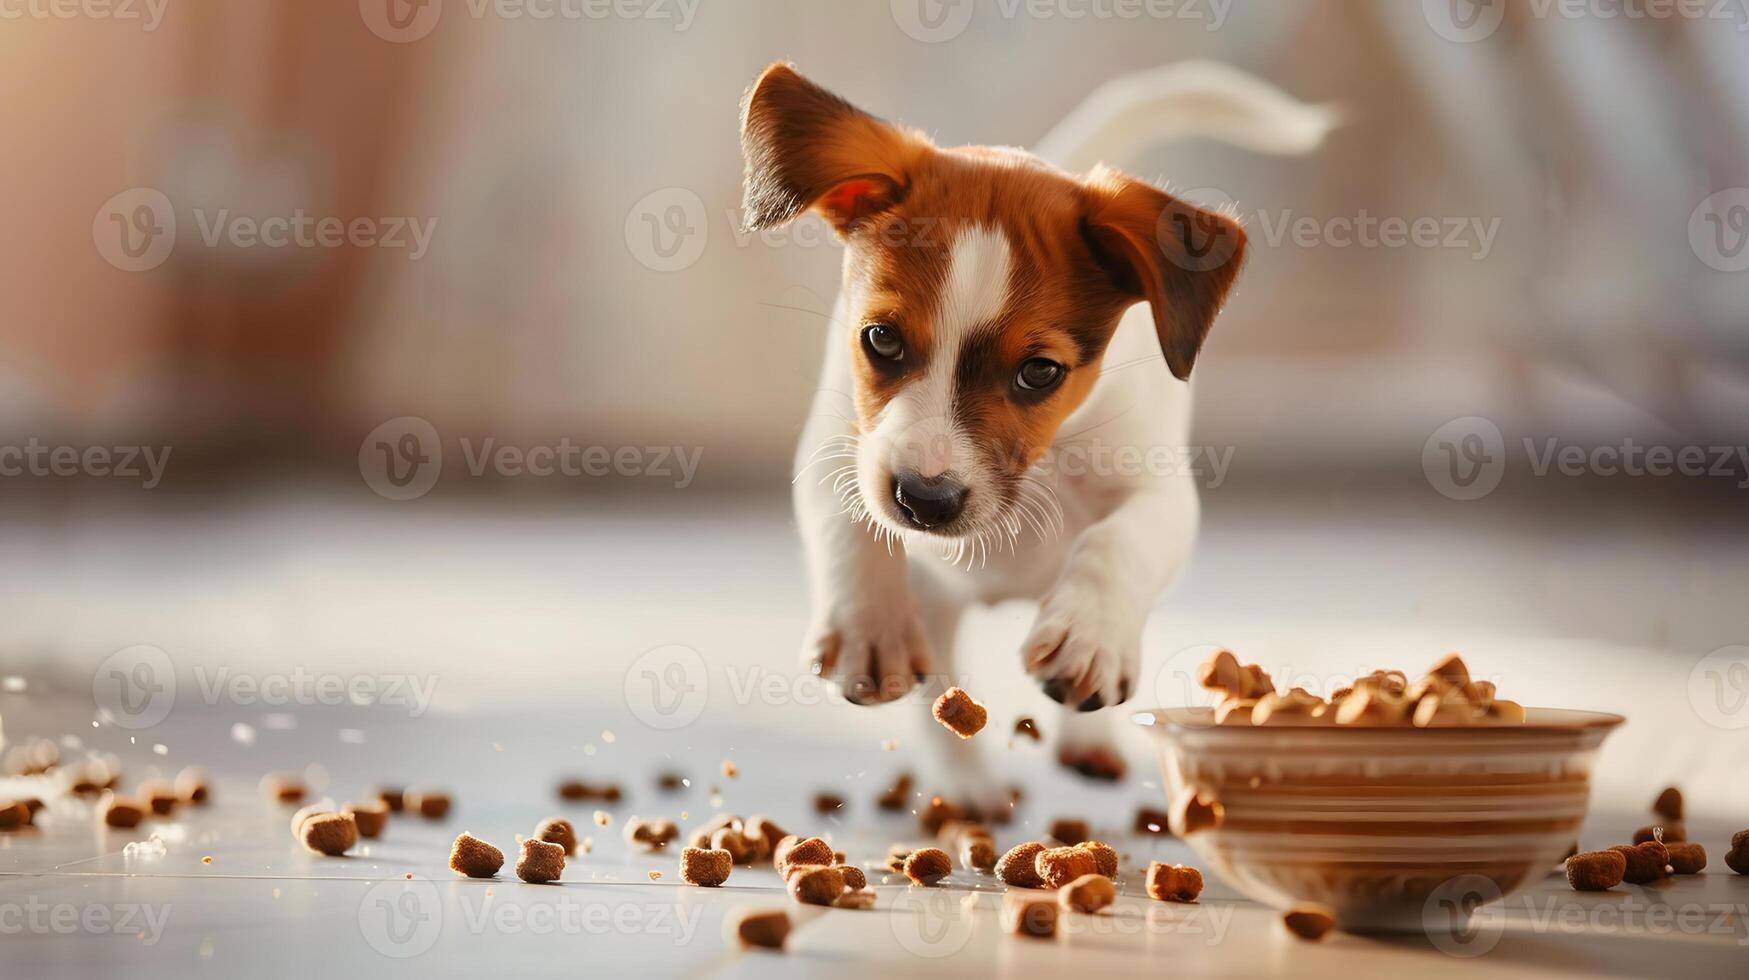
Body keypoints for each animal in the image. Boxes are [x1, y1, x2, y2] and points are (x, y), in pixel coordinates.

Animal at [741, 59, 1336, 798]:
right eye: (880, 339)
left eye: (1040, 372)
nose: (924, 501)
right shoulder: (837, 444)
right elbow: (848, 522)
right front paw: (866, 628)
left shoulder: (1161, 495)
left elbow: (1118, 542)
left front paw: (1089, 638)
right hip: (934, 605)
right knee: (941, 682)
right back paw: (969, 789)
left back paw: (1087, 734)